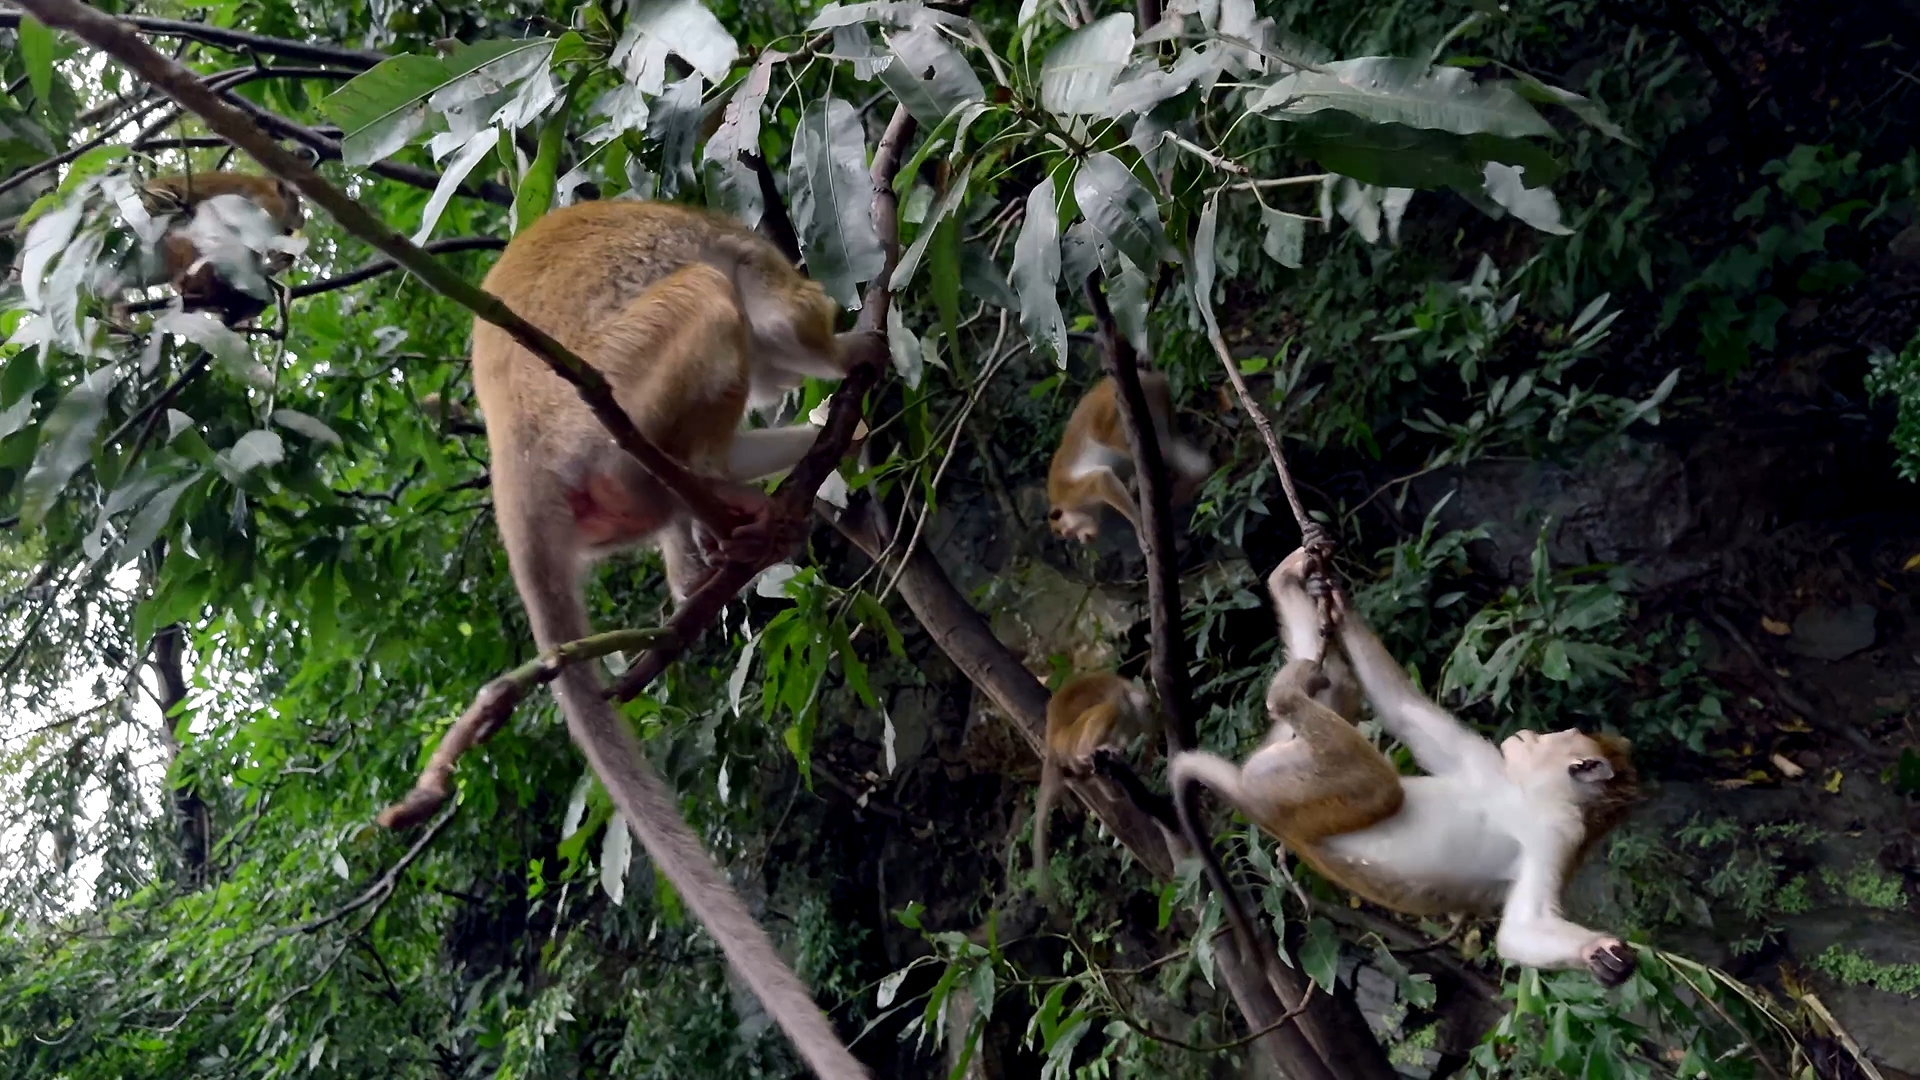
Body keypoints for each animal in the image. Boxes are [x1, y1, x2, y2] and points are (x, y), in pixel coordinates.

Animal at [447, 199, 878, 1078]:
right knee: (708, 296)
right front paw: (850, 355)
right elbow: (786, 315)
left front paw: (835, 424)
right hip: (607, 404)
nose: (779, 389)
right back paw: (713, 491)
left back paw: (702, 538)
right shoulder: (751, 254)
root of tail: (514, 460)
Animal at [1032, 672, 1155, 898]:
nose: (1150, 710)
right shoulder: (1122, 701)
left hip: (1075, 769)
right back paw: (1088, 752)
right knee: (1107, 710)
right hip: (1071, 739)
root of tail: (1053, 743)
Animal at [1047, 372, 1211, 544]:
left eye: (1068, 533)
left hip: (1111, 403)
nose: (1082, 540)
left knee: (1101, 433)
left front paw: (1138, 525)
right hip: (1158, 399)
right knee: (1177, 452)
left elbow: (1102, 479)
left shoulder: (1070, 494)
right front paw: (1134, 484)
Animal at [1170, 548, 1642, 987]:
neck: (1529, 794)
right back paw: (1291, 588)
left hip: (1290, 794)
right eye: (1561, 731)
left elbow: (1522, 930)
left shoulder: (1558, 835)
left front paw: (1595, 951)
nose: (1529, 734)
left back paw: (1286, 694)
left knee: (1377, 784)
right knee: (1340, 693)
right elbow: (1402, 708)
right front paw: (1338, 599)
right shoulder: (1490, 764)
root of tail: (1249, 800)